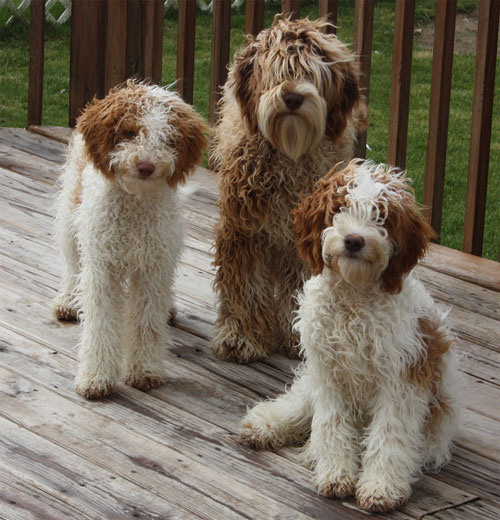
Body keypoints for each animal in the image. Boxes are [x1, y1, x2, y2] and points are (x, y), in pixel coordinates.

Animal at [54, 80, 209, 398]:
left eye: (168, 138)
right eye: (130, 132)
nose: (146, 166)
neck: (135, 206)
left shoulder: (153, 266)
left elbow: (147, 322)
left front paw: (145, 371)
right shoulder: (102, 267)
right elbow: (101, 323)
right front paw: (96, 377)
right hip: (70, 215)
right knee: (72, 264)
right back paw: (68, 300)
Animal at [210, 18, 368, 364]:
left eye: (312, 75)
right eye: (279, 72)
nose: (293, 98)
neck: (288, 152)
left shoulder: (308, 234)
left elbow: (300, 285)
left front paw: (298, 333)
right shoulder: (243, 229)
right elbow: (246, 286)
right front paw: (242, 335)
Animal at [240, 161, 458, 512]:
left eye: (382, 216)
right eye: (340, 208)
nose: (354, 240)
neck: (353, 297)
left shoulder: (401, 379)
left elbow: (389, 434)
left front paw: (381, 487)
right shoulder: (329, 371)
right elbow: (331, 424)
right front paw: (335, 473)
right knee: (301, 403)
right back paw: (267, 424)